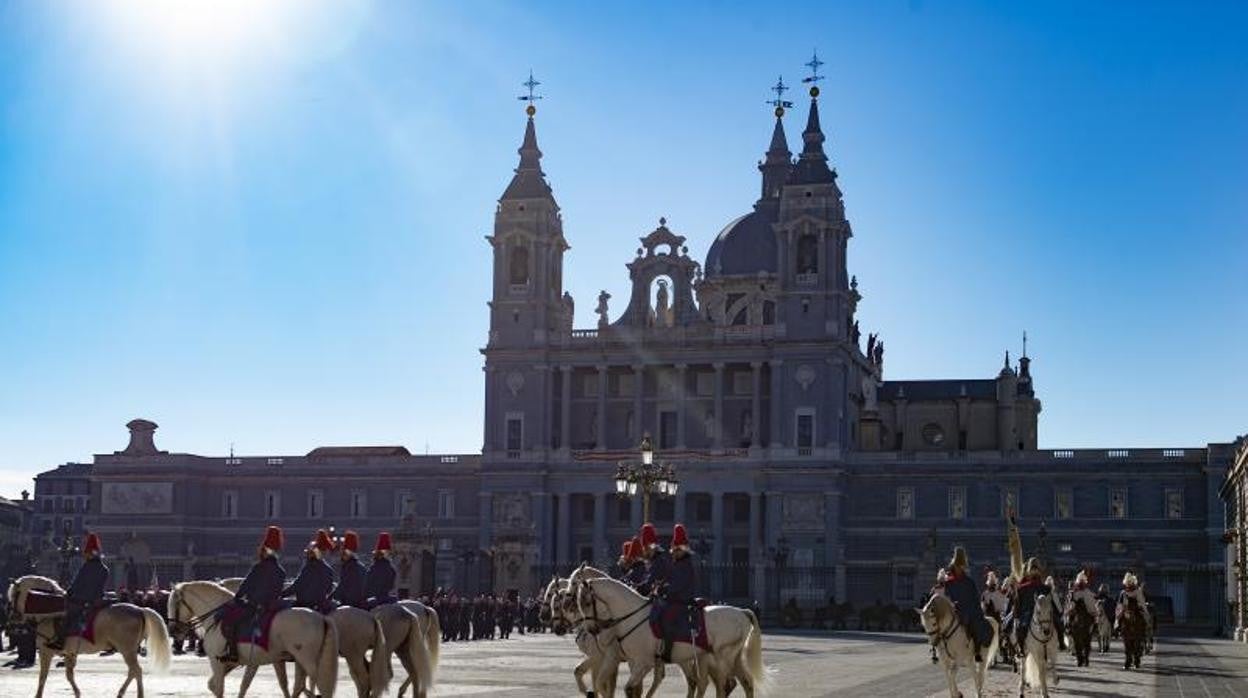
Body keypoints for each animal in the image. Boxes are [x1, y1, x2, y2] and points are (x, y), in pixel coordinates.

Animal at [7, 574, 172, 698]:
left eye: (14, 595)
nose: (13, 617)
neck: (51, 611)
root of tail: (139, 610)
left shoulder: (45, 651)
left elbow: (43, 676)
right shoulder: (69, 653)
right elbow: (69, 675)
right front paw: (77, 693)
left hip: (127, 650)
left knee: (136, 671)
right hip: (128, 651)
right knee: (133, 671)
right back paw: (121, 692)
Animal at [170, 579, 339, 698]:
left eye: (173, 604)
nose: (173, 631)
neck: (217, 617)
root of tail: (320, 616)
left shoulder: (217, 662)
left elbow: (219, 688)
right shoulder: (250, 662)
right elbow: (242, 685)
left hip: (306, 659)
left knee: (316, 683)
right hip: (300, 660)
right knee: (301, 685)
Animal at [571, 571, 763, 694]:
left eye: (586, 603)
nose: (591, 630)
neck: (632, 615)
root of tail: (742, 612)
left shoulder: (642, 662)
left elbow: (628, 688)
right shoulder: (631, 661)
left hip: (722, 658)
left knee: (724, 685)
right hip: (730, 658)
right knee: (744, 684)